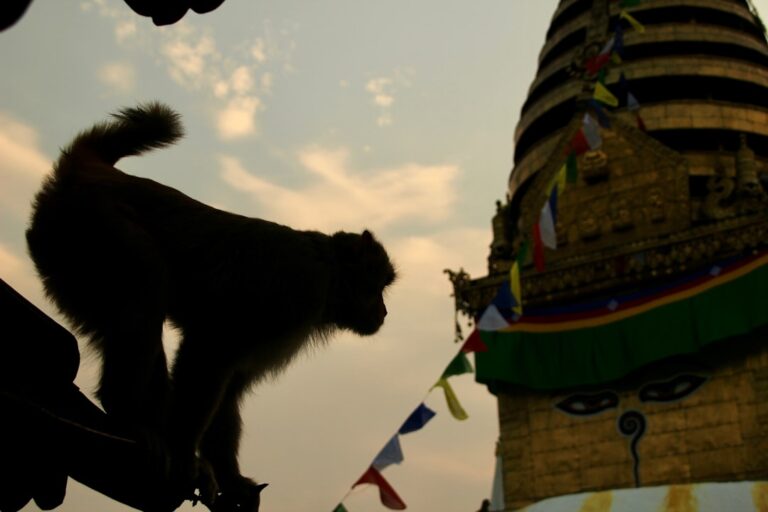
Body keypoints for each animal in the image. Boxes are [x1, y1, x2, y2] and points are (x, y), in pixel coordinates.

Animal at [26, 102, 397, 511]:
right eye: (379, 285)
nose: (383, 312)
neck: (329, 277)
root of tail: (92, 172)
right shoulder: (295, 290)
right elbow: (211, 350)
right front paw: (184, 453)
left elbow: (231, 385)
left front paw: (231, 478)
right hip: (93, 228)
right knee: (148, 286)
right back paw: (127, 415)